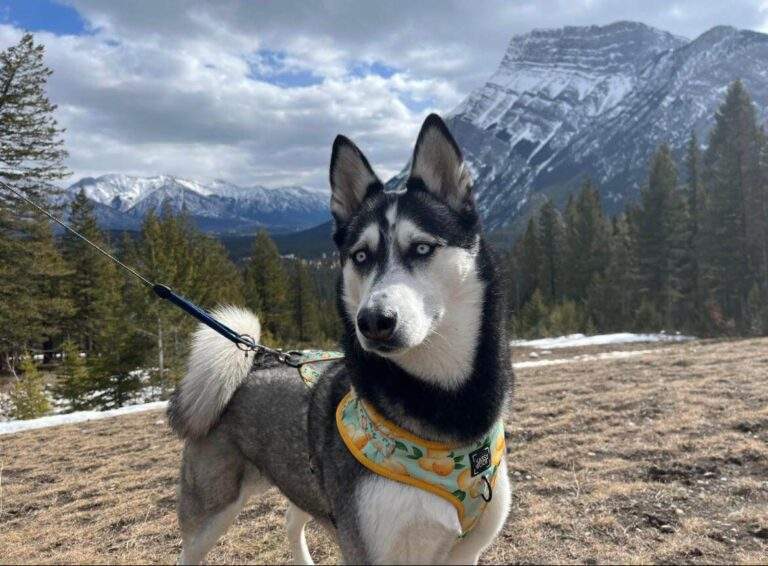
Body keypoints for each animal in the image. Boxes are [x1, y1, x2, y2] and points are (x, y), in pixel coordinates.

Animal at [171, 113, 512, 564]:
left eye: (422, 248)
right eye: (361, 256)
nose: (373, 321)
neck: (444, 411)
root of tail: (249, 366)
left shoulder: (464, 554)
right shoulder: (371, 551)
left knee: (291, 521)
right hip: (211, 514)